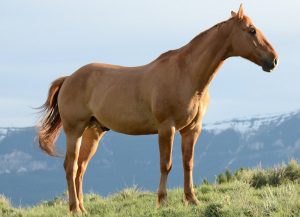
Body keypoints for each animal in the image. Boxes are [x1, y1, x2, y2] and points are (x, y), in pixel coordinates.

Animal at [38, 4, 278, 213]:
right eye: (251, 30)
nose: (274, 60)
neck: (187, 74)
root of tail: (68, 78)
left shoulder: (192, 129)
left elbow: (188, 163)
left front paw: (192, 200)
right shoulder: (166, 128)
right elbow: (166, 164)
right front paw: (162, 202)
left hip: (93, 132)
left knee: (80, 168)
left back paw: (82, 208)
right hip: (74, 131)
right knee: (70, 167)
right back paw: (74, 209)